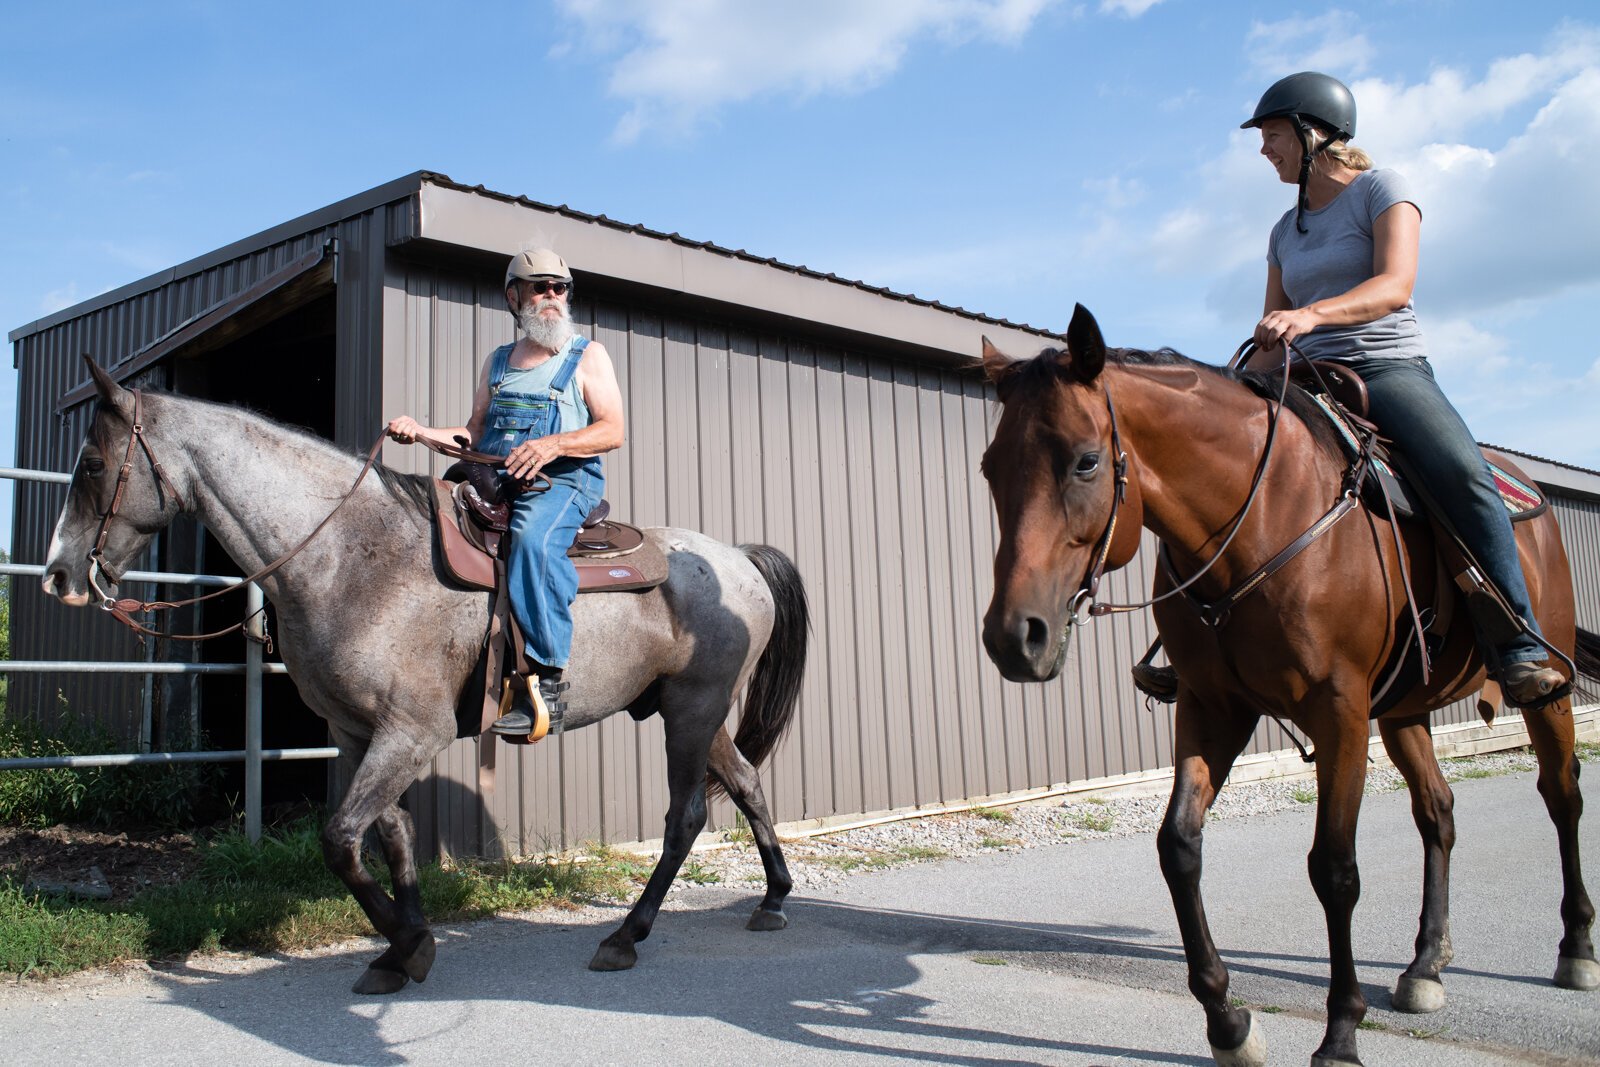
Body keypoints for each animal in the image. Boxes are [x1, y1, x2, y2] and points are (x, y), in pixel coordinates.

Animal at [40, 358, 812, 991]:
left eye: (92, 463)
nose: (58, 576)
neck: (350, 556)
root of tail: (739, 559)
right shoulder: (358, 732)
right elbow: (387, 835)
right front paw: (398, 947)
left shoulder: (413, 730)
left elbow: (340, 838)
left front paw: (410, 944)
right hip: (693, 711)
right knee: (745, 781)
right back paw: (773, 897)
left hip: (692, 709)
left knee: (686, 816)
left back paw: (626, 935)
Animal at [979, 302, 1593, 1067]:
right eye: (990, 468)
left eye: (1086, 460)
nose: (1014, 637)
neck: (1261, 522)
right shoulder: (1214, 707)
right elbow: (1179, 847)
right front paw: (1228, 1022)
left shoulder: (1339, 711)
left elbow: (1334, 868)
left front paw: (1340, 1034)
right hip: (1404, 711)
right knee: (1438, 812)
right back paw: (1426, 964)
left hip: (1546, 690)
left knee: (1562, 796)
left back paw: (1576, 948)